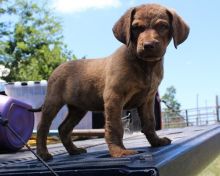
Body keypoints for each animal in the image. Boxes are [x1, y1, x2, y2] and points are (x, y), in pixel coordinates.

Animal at [35, 3, 189, 161]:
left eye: (163, 26)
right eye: (136, 27)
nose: (148, 45)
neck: (145, 66)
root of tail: (58, 67)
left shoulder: (148, 99)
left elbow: (149, 122)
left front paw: (156, 142)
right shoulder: (114, 97)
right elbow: (115, 127)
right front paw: (119, 152)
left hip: (78, 108)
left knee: (63, 128)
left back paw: (73, 150)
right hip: (53, 103)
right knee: (43, 127)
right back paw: (43, 153)